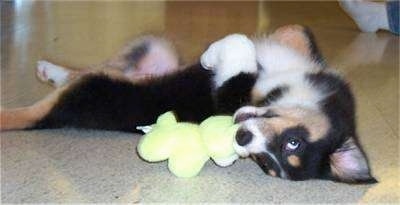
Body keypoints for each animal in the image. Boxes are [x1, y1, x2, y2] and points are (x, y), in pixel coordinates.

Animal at [0, 24, 376, 183]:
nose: (240, 139)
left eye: (263, 163)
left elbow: (241, 52)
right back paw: (50, 69)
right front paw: (213, 53)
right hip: (155, 48)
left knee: (39, 105)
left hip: (89, 90)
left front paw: (217, 55)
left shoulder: (228, 96)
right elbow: (289, 31)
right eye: (292, 142)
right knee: (99, 66)